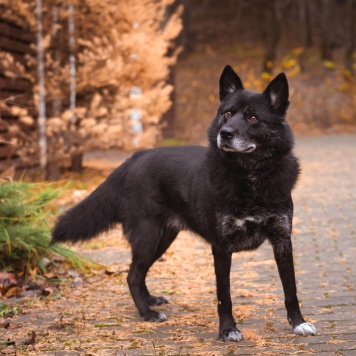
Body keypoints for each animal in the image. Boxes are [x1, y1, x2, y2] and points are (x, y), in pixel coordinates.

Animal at [51, 65, 316, 340]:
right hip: (148, 235)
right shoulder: (221, 248)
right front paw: (227, 330)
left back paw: (150, 301)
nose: (225, 133)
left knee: (138, 272)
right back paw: (147, 313)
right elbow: (224, 296)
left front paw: (298, 323)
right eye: (227, 114)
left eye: (253, 118)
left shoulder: (282, 240)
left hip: (163, 238)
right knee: (133, 274)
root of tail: (135, 158)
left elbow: (291, 289)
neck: (251, 179)